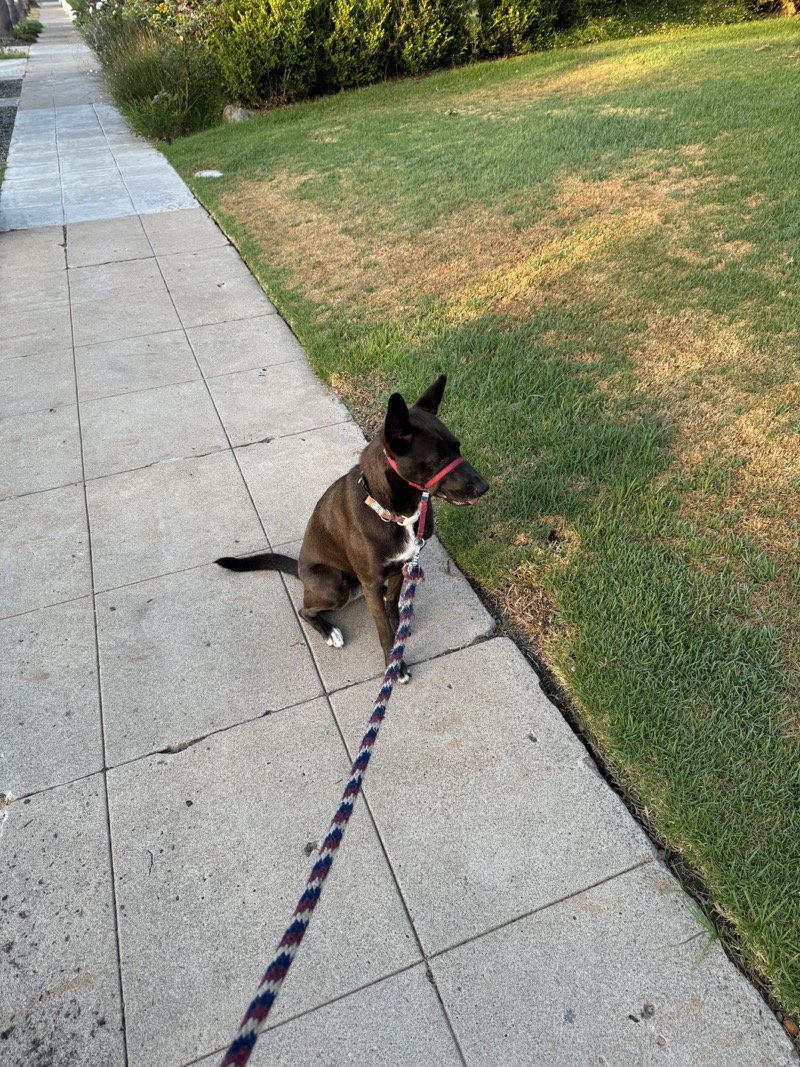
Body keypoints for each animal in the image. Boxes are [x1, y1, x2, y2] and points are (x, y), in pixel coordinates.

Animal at [216, 375, 488, 682]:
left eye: (457, 447)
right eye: (438, 459)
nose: (484, 487)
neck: (394, 512)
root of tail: (299, 569)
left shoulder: (401, 565)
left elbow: (392, 602)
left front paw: (398, 629)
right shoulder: (371, 580)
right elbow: (382, 630)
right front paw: (394, 663)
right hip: (335, 584)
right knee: (304, 610)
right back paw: (329, 630)